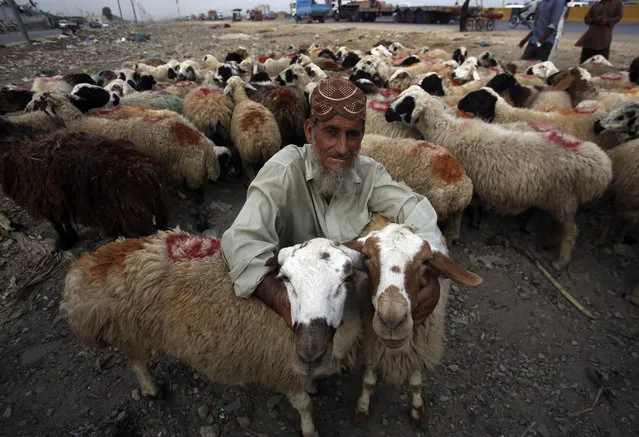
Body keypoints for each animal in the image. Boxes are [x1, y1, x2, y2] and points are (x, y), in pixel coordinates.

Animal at [0, 130, 170, 249]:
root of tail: (147, 171)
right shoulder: (60, 201)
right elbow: (64, 221)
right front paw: (71, 238)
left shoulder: (46, 201)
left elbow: (57, 224)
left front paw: (64, 242)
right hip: (153, 209)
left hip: (129, 217)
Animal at [62, 228, 368, 436]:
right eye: (286, 280)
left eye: (345, 279)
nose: (309, 351)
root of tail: (96, 260)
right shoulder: (283, 370)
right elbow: (304, 405)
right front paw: (310, 430)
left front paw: (314, 383)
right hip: (130, 330)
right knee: (137, 362)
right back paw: (151, 389)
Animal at [344, 220, 484, 424]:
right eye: (367, 256)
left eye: (425, 262)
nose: (392, 321)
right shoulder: (372, 346)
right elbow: (369, 381)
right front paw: (362, 407)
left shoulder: (419, 349)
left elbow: (416, 383)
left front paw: (418, 410)